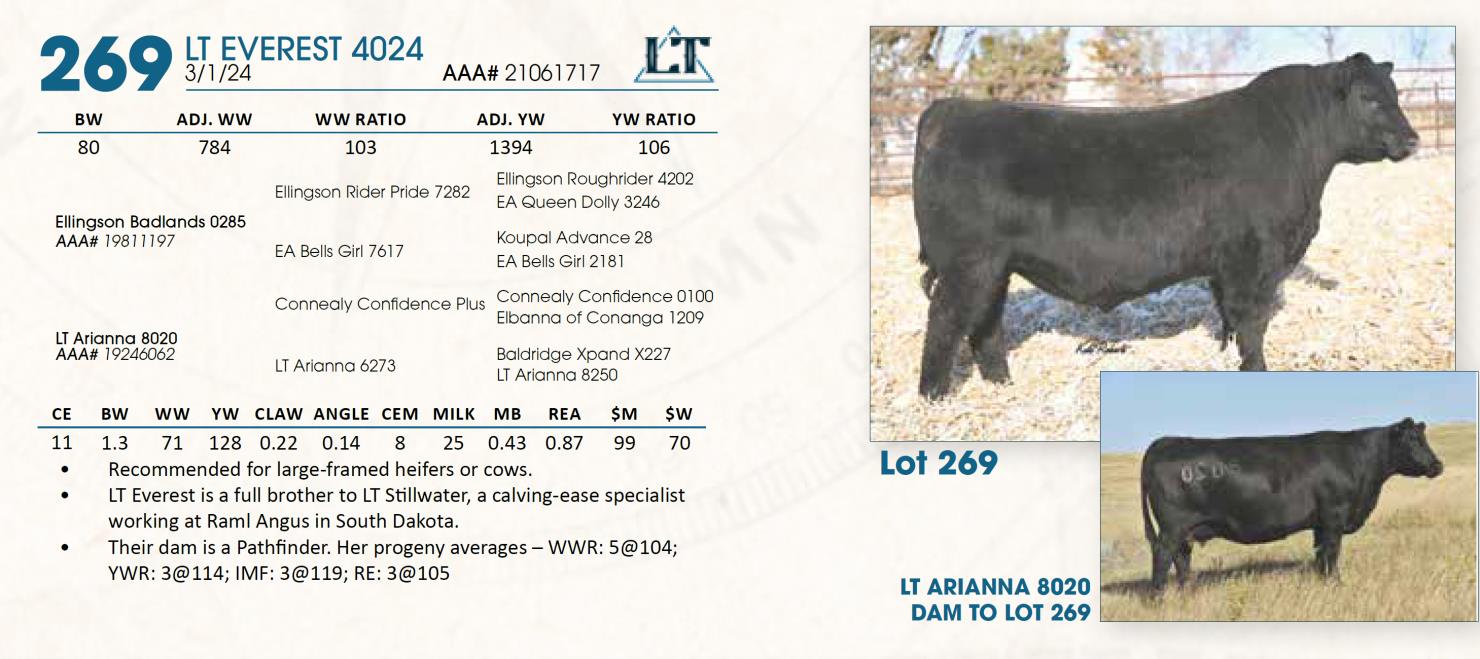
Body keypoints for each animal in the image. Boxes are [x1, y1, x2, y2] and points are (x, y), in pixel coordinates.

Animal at [911, 53, 1419, 399]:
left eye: (1395, 94)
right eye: (1370, 99)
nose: (1413, 139)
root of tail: (947, 109)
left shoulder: (1226, 263)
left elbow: (1229, 316)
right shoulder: (1252, 257)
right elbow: (1251, 321)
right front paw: (1255, 370)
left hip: (994, 267)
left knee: (985, 324)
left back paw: (1002, 384)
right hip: (968, 264)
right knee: (945, 322)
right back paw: (934, 396)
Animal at [1138, 417, 1443, 591]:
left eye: (1423, 437)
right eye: (1412, 439)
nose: (1437, 465)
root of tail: (1166, 441)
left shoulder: (1320, 523)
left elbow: (1320, 555)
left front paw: (1323, 583)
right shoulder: (1334, 516)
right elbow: (1332, 553)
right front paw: (1336, 585)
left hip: (1185, 530)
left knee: (1181, 558)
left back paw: (1187, 593)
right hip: (1172, 527)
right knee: (1163, 557)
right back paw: (1158, 598)